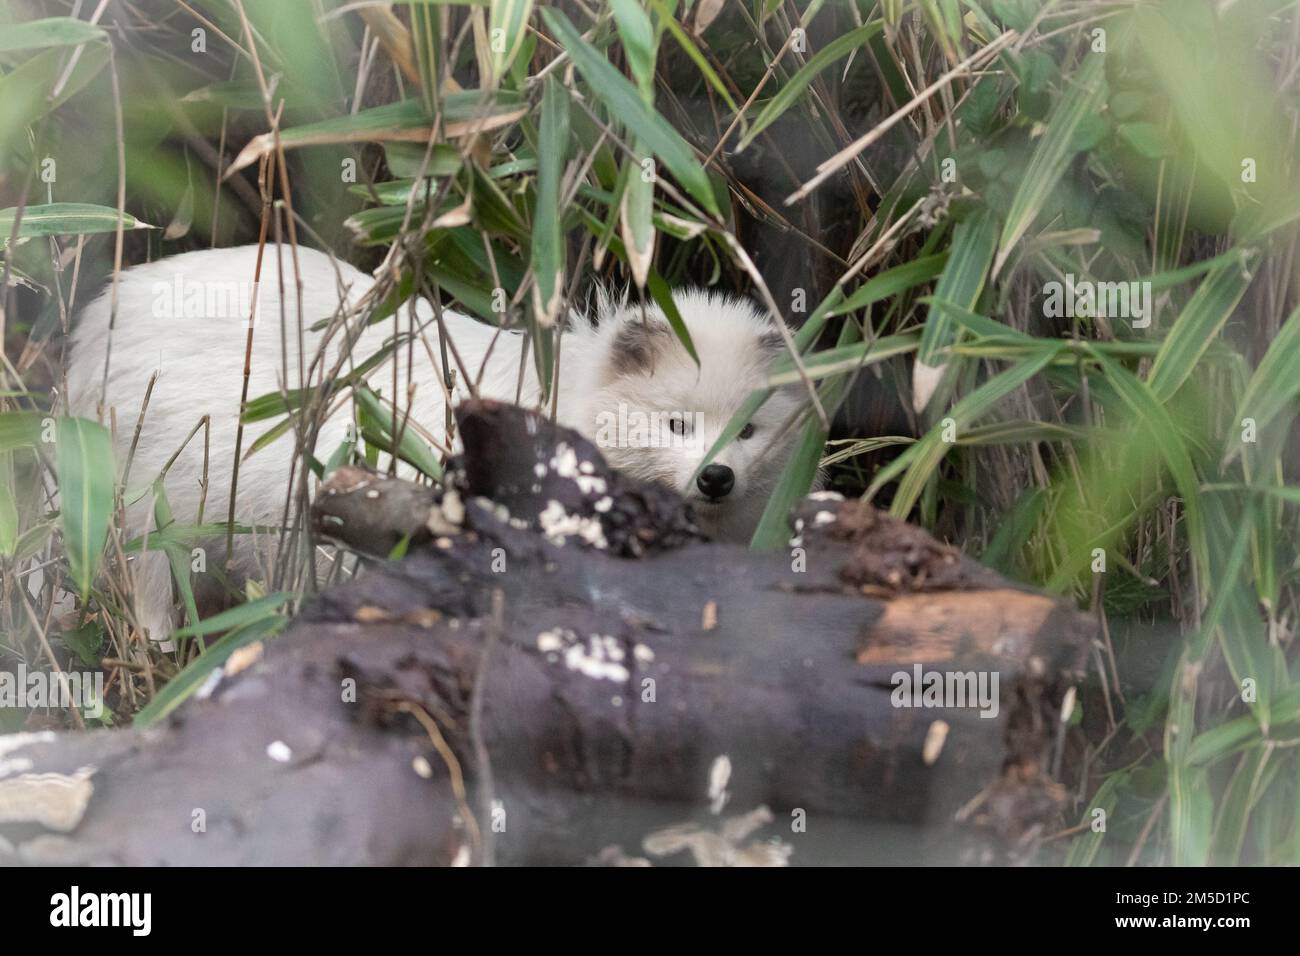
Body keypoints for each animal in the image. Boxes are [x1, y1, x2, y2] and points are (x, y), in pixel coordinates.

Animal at [68, 243, 811, 639]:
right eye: (676, 423)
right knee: (145, 586)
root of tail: (100, 321)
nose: (716, 478)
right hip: (152, 507)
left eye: (749, 429)